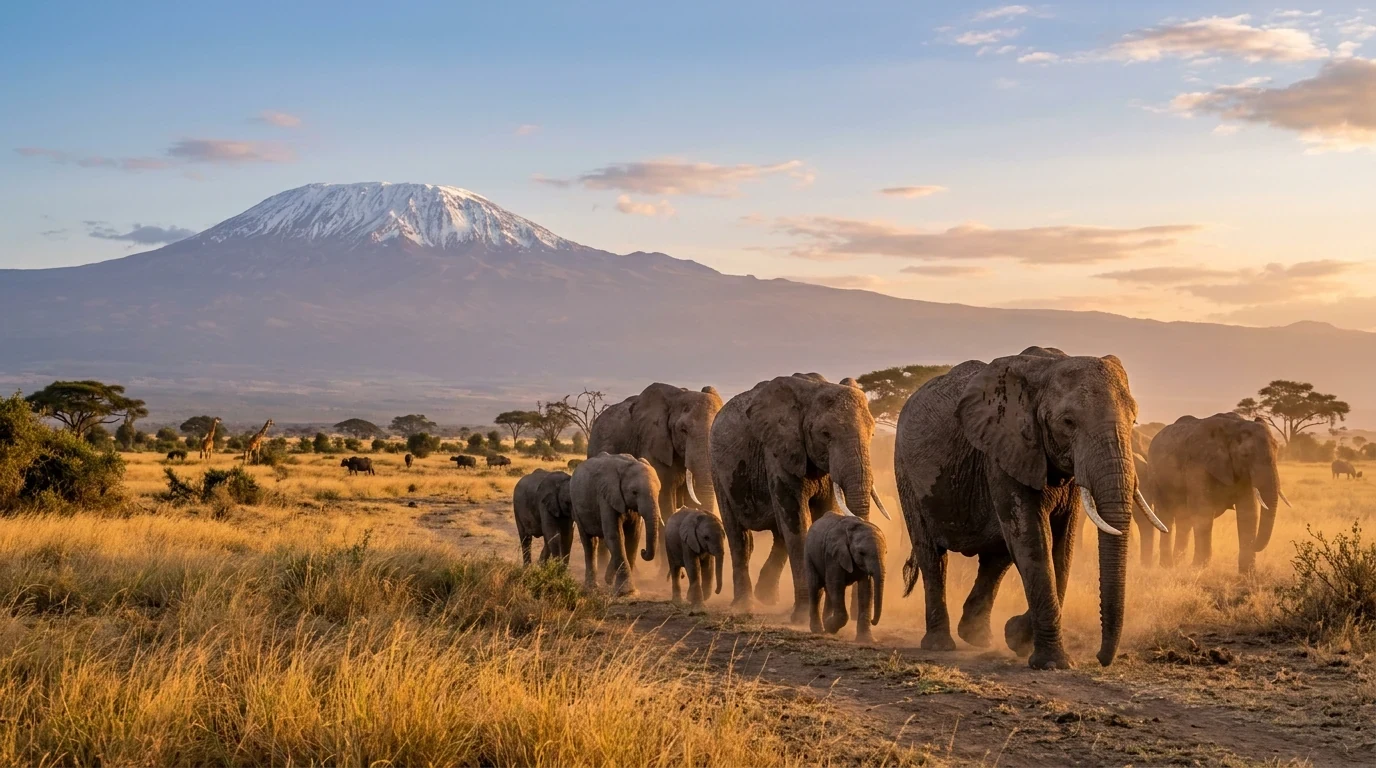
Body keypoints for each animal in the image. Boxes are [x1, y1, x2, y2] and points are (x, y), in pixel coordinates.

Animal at [570, 452, 662, 595]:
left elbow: (632, 537)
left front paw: (621, 587)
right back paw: (592, 588)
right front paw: (626, 592)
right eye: (634, 492)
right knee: (589, 542)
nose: (643, 551)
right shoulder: (606, 496)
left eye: (659, 491)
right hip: (576, 506)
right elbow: (615, 536)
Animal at [710, 373, 891, 623]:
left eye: (872, 433)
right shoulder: (778, 453)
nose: (860, 616)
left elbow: (820, 516)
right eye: (825, 434)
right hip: (718, 471)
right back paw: (744, 605)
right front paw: (803, 617)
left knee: (779, 535)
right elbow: (796, 520)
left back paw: (767, 598)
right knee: (740, 537)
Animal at [805, 512, 886, 642]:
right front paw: (829, 625)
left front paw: (867, 640)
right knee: (816, 588)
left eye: (886, 553)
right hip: (809, 553)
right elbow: (836, 584)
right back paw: (819, 629)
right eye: (862, 553)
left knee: (828, 591)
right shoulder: (833, 554)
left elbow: (866, 589)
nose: (873, 621)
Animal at [896, 347, 1165, 669]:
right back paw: (940, 645)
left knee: (997, 555)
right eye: (1068, 422)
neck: (1046, 369)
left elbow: (1063, 546)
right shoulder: (1003, 451)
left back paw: (977, 637)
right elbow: (1035, 541)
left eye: (1134, 420)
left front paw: (1017, 637)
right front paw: (1052, 662)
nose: (1101, 658)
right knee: (931, 554)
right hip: (906, 473)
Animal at [1147, 413, 1290, 572]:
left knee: (1184, 520)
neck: (1234, 427)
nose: (1255, 545)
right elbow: (1203, 511)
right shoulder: (1197, 465)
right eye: (1245, 455)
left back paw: (1178, 564)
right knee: (1166, 516)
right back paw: (1168, 567)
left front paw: (1248, 573)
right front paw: (1197, 569)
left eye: (1277, 451)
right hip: (1155, 476)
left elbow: (1248, 512)